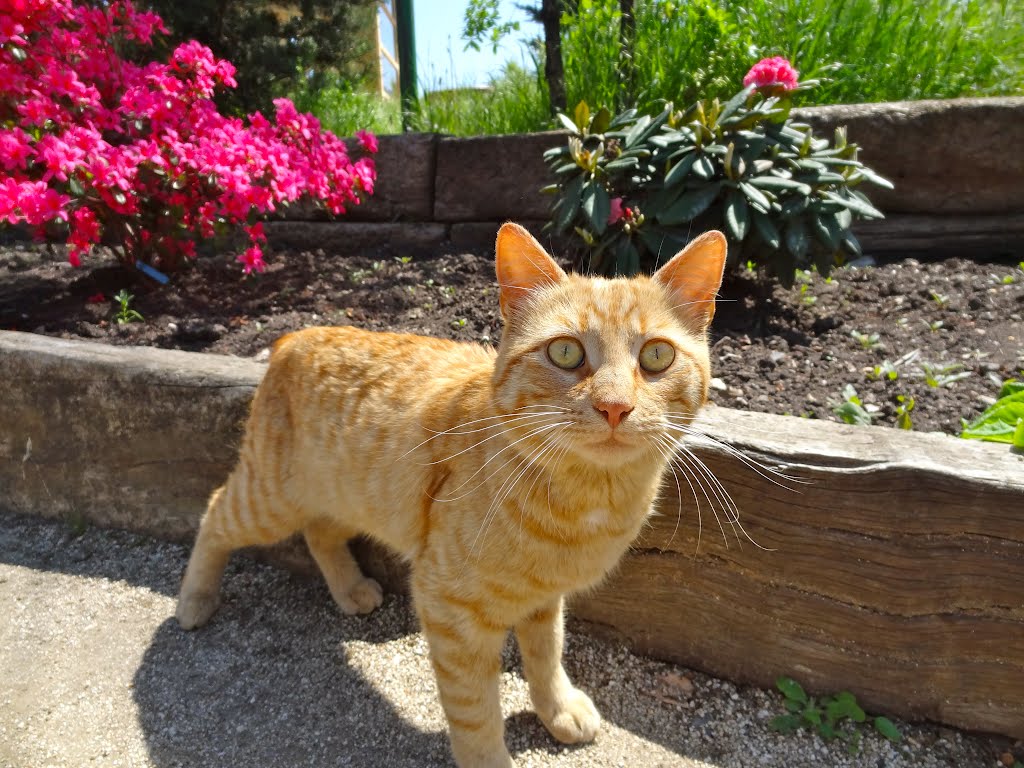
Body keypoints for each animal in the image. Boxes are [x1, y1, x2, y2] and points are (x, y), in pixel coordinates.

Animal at [176, 222, 729, 768]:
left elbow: (547, 654)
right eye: (566, 352)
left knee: (319, 532)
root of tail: (296, 333)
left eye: (656, 355)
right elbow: (476, 713)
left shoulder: (544, 599)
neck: (586, 501)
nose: (615, 407)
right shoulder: (449, 610)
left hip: (351, 498)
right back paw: (194, 600)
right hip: (270, 500)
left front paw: (557, 709)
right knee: (214, 512)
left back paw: (349, 589)